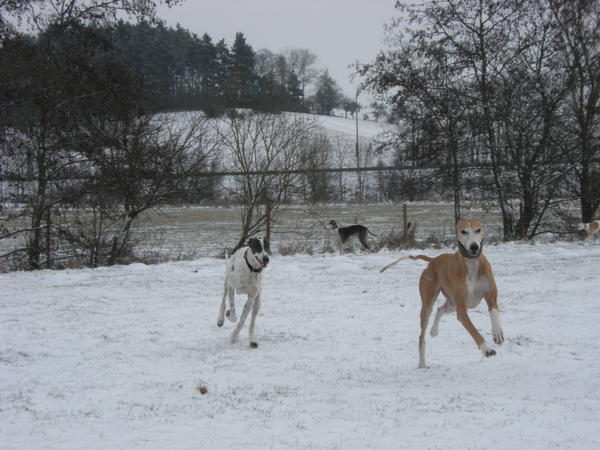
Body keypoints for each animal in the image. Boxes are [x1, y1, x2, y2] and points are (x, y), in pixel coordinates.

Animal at [382, 219, 504, 370]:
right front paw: (487, 349)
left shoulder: (491, 298)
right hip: (428, 304)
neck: (472, 263)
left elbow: (494, 313)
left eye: (478, 230)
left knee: (440, 309)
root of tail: (433, 260)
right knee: (422, 335)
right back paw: (422, 364)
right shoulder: (462, 311)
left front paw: (498, 334)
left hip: (453, 303)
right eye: (463, 231)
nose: (474, 247)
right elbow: (474, 331)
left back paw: (434, 330)